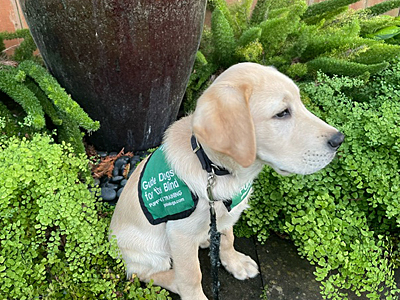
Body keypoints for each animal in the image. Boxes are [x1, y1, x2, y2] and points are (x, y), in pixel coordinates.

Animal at [109, 62, 344, 298]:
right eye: (282, 113)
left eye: (300, 103)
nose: (339, 139)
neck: (214, 168)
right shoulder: (180, 234)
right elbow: (191, 274)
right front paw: (194, 294)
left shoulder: (227, 213)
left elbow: (228, 239)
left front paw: (235, 262)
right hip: (149, 250)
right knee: (142, 273)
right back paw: (173, 280)